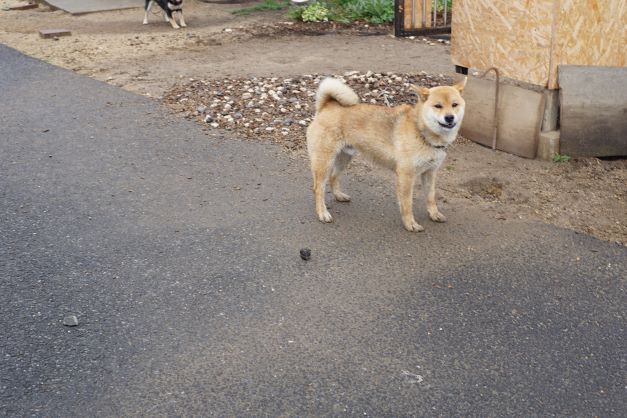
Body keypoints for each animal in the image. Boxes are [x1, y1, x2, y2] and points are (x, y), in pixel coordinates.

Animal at [306, 76, 466, 230]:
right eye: (438, 106)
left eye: (454, 105)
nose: (450, 117)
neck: (421, 130)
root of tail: (327, 106)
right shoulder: (406, 175)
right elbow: (407, 203)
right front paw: (410, 223)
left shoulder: (430, 172)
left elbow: (431, 197)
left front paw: (434, 214)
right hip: (324, 163)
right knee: (318, 188)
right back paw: (322, 213)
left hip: (344, 158)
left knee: (333, 177)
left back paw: (339, 195)